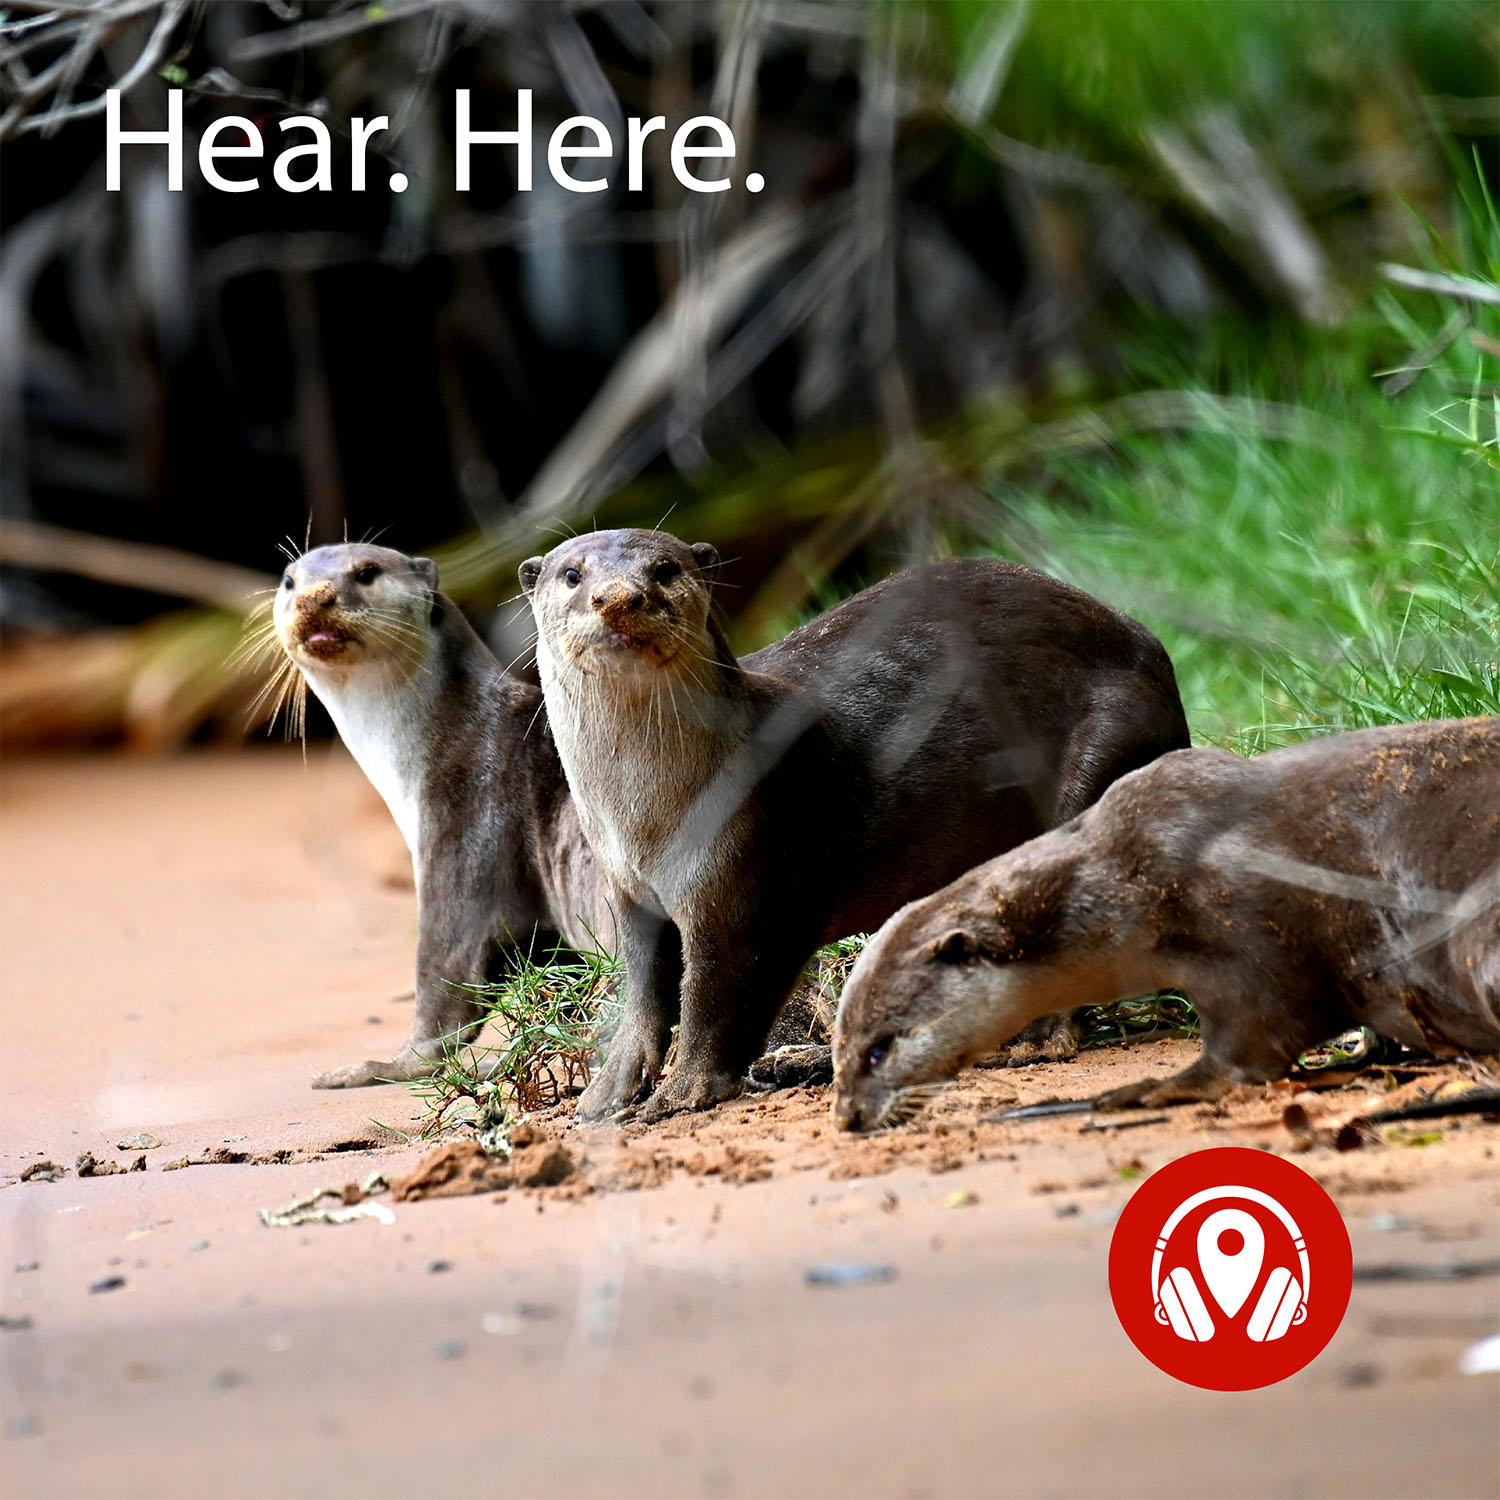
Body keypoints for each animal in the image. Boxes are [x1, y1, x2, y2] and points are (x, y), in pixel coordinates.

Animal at [521, 528, 1191, 1121]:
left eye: (664, 570)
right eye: (572, 574)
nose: (619, 597)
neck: (648, 826)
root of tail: (1153, 650)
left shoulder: (751, 884)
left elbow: (718, 998)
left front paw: (682, 1092)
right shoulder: (628, 893)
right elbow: (642, 998)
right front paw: (606, 1096)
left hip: (1106, 751)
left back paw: (1029, 1042)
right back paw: (806, 1060)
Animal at [831, 717, 1500, 1131]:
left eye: (880, 1049)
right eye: (840, 1049)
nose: (846, 1116)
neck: (1130, 878)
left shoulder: (1250, 937)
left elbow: (1252, 1043)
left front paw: (1146, 1090)